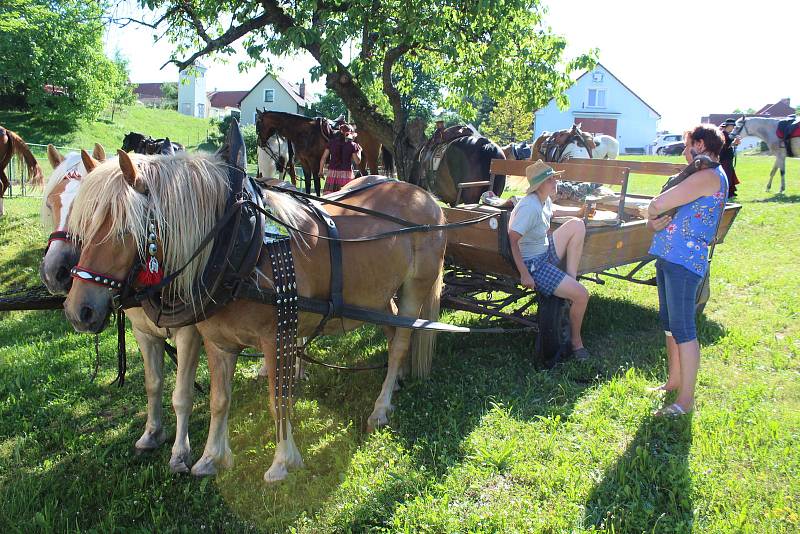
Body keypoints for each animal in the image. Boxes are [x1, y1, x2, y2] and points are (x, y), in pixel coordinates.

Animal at [40, 142, 203, 474]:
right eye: (52, 205)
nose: (53, 272)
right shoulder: (143, 331)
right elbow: (153, 384)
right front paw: (152, 434)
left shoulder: (189, 334)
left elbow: (182, 394)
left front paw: (180, 453)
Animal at [62, 140, 446, 484]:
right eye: (82, 224)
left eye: (123, 229)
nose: (79, 309)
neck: (240, 243)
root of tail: (428, 199)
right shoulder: (216, 342)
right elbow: (219, 399)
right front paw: (211, 458)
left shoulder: (278, 339)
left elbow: (279, 401)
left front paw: (282, 462)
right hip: (377, 297)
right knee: (393, 332)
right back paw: (396, 383)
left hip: (415, 289)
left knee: (400, 344)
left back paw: (381, 407)